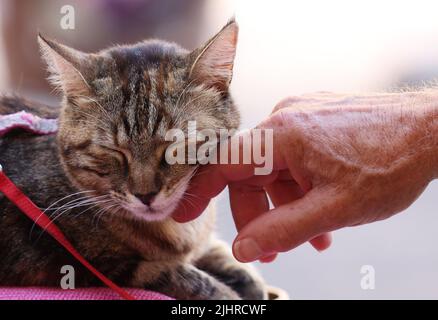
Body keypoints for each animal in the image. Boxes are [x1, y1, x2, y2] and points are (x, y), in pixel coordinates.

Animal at [0, 20, 266, 300]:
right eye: (113, 150)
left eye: (174, 146)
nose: (145, 195)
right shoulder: (100, 267)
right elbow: (182, 276)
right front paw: (228, 292)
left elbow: (219, 253)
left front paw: (247, 278)